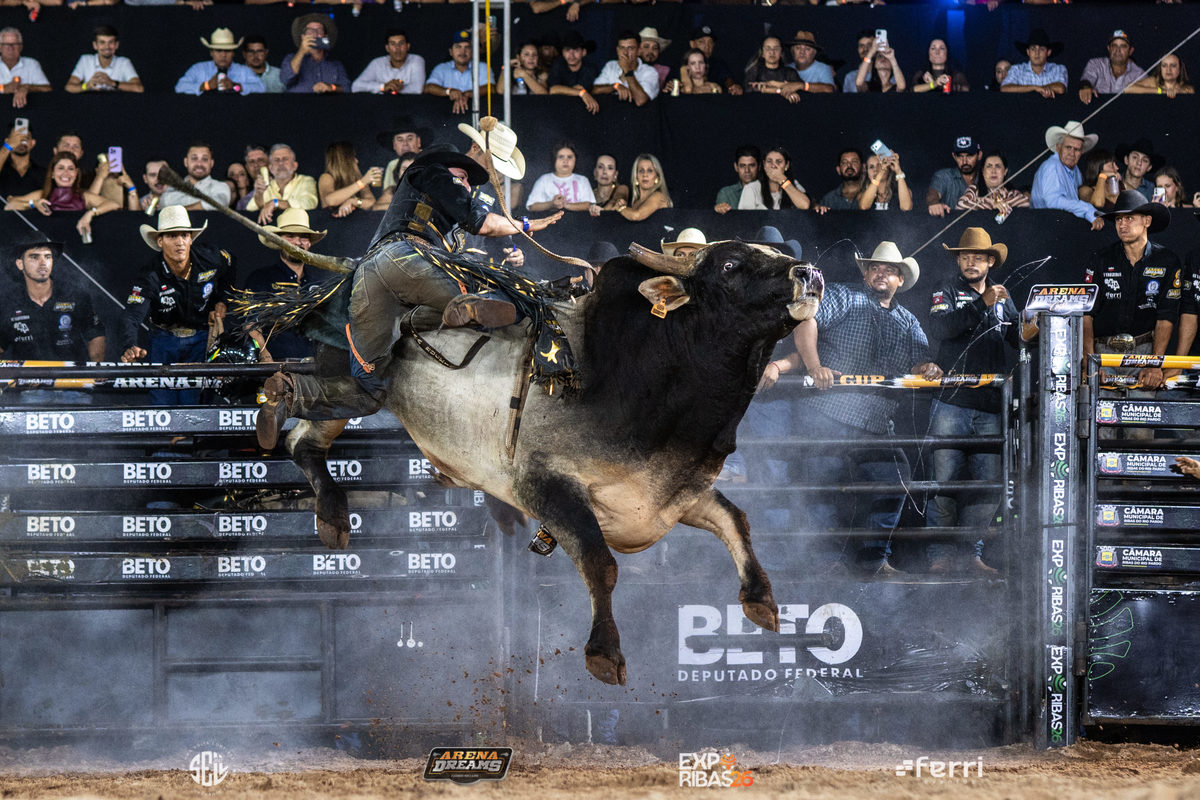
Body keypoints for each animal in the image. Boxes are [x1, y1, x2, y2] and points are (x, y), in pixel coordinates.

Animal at [285, 241, 823, 685]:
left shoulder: (668, 493)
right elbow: (600, 564)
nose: (810, 273)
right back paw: (319, 487)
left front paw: (762, 602)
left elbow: (736, 520)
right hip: (352, 382)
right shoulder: (547, 485)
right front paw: (604, 653)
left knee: (303, 440)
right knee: (301, 435)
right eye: (731, 265)